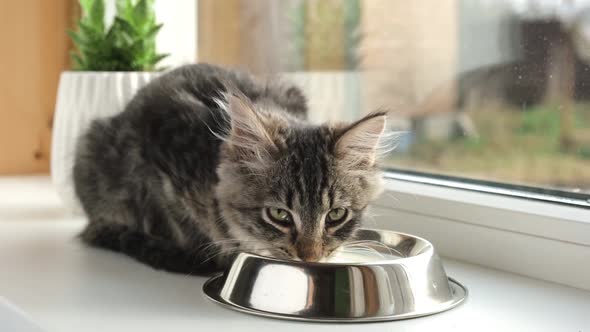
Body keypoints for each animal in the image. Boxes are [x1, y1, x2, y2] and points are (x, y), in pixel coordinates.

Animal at [73, 63, 388, 274]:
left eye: (336, 215)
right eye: (279, 215)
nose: (309, 258)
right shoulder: (160, 167)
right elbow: (180, 223)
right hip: (91, 147)